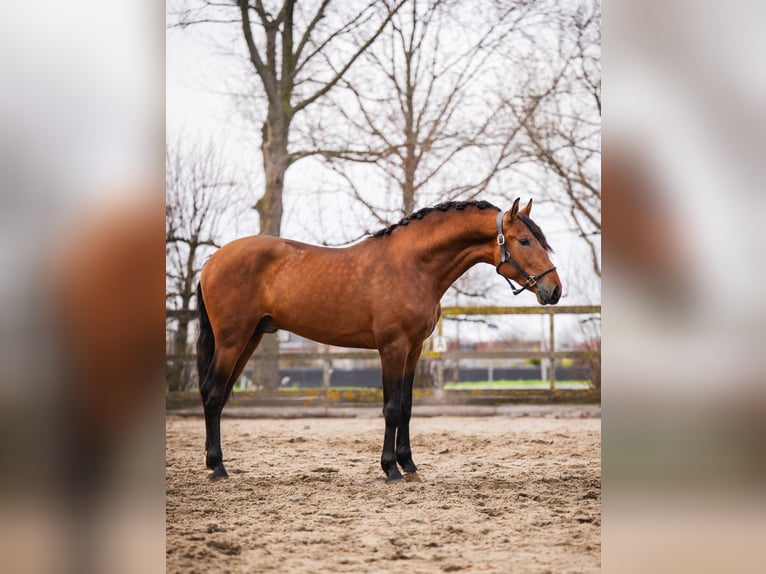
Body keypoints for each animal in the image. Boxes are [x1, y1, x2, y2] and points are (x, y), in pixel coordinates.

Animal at [196, 198, 562, 482]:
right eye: (525, 241)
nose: (554, 289)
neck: (413, 265)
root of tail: (213, 260)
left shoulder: (413, 350)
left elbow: (408, 407)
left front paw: (409, 464)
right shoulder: (392, 348)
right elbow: (392, 407)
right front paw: (391, 469)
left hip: (250, 339)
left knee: (220, 394)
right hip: (232, 340)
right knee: (213, 394)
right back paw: (218, 468)